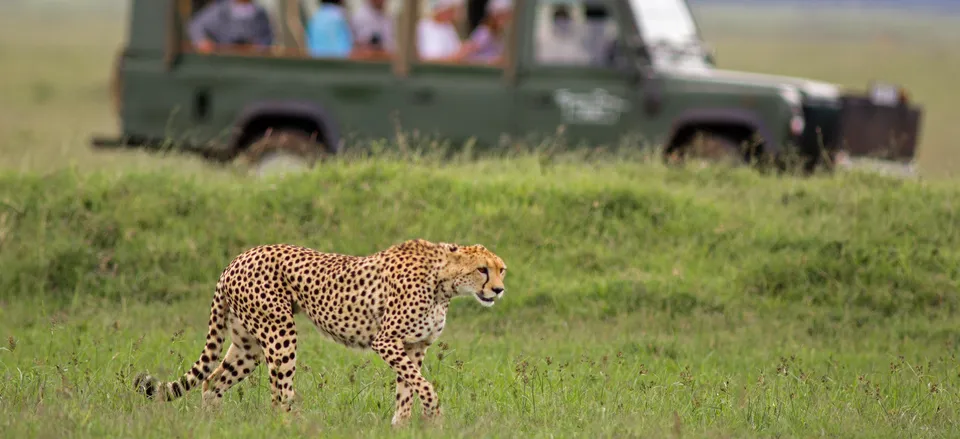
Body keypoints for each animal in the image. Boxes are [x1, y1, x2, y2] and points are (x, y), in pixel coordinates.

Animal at [135, 239, 510, 428]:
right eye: (482, 270)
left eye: (501, 269)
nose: (499, 290)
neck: (444, 281)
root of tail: (237, 258)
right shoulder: (387, 341)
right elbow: (424, 386)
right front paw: (433, 414)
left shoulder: (414, 346)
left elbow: (408, 389)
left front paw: (400, 427)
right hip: (280, 331)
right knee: (279, 394)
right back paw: (298, 426)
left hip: (248, 344)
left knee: (212, 382)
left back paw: (212, 427)